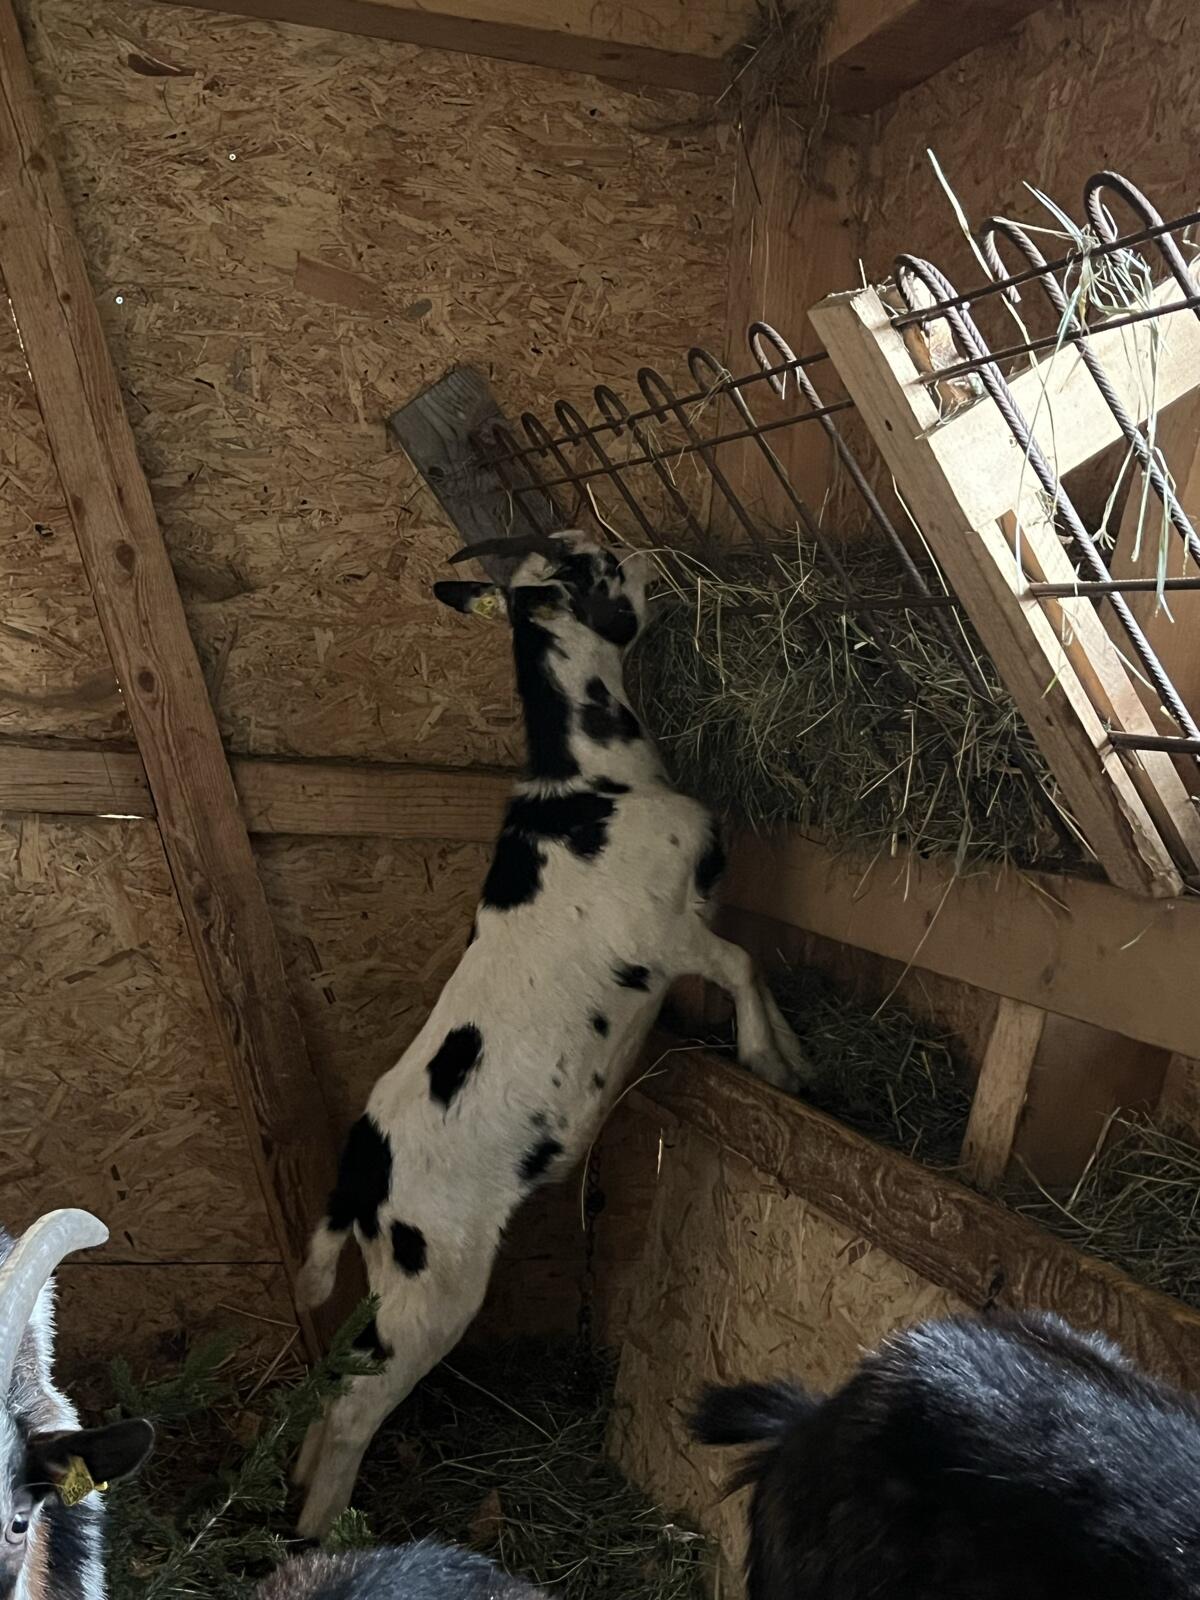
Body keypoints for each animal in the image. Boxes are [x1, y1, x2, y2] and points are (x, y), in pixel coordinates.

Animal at [293, 529, 812, 1536]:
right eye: (587, 570)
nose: (649, 556)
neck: (597, 781)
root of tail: (359, 1178)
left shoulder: (687, 920)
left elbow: (750, 967)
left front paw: (794, 1056)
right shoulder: (663, 936)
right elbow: (741, 964)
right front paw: (773, 1061)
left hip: (393, 1280)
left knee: (335, 1379)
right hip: (432, 1280)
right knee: (356, 1404)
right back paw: (319, 1527)